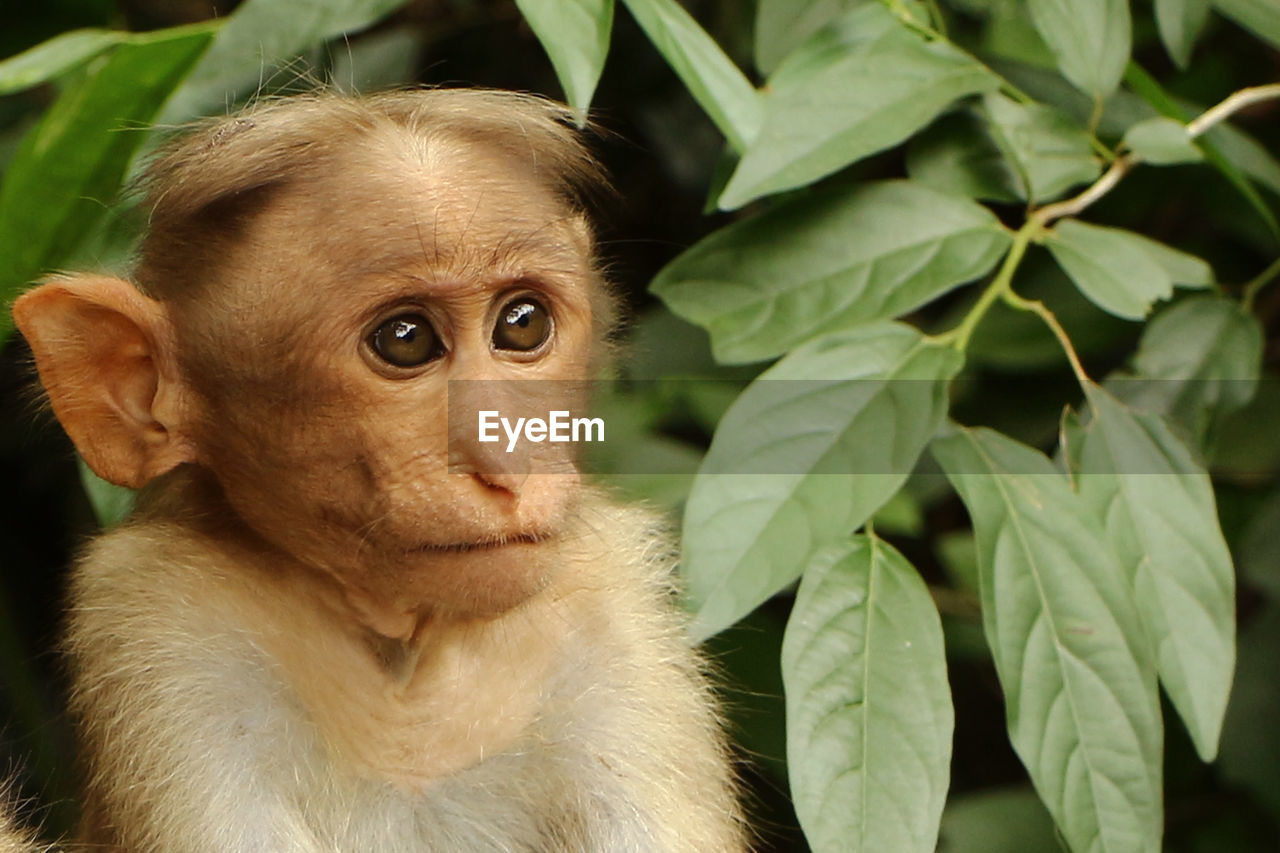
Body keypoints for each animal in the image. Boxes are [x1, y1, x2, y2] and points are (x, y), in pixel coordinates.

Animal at [7, 89, 747, 845]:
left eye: (522, 324)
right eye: (406, 339)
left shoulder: (610, 611)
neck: (403, 660)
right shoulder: (161, 616)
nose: (510, 461)